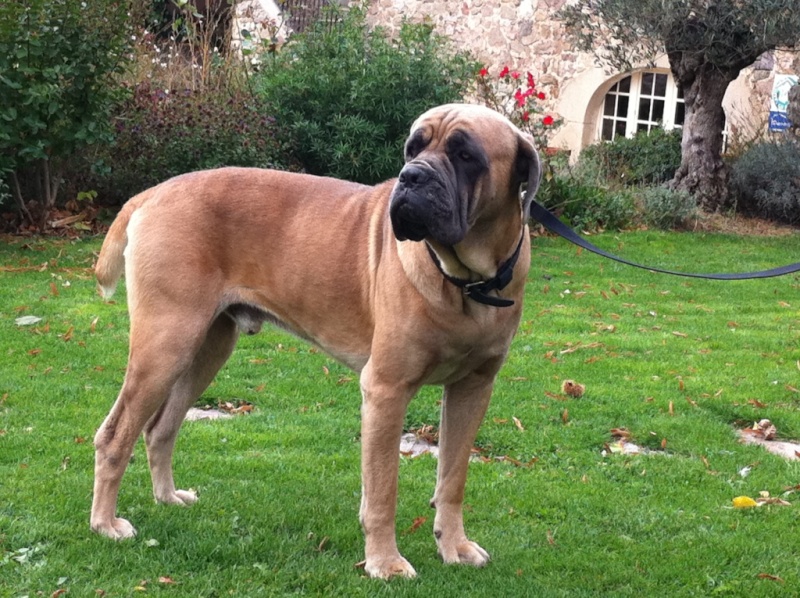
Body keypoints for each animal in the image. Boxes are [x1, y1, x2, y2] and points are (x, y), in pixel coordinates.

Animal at [90, 104, 540, 580]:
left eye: (465, 155)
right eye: (413, 148)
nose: (411, 176)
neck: (467, 282)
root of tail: (152, 193)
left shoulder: (473, 389)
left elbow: (452, 479)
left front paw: (454, 545)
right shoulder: (386, 389)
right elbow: (383, 489)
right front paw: (385, 561)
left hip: (205, 348)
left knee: (161, 428)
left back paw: (167, 498)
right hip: (165, 345)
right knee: (115, 435)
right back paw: (105, 523)